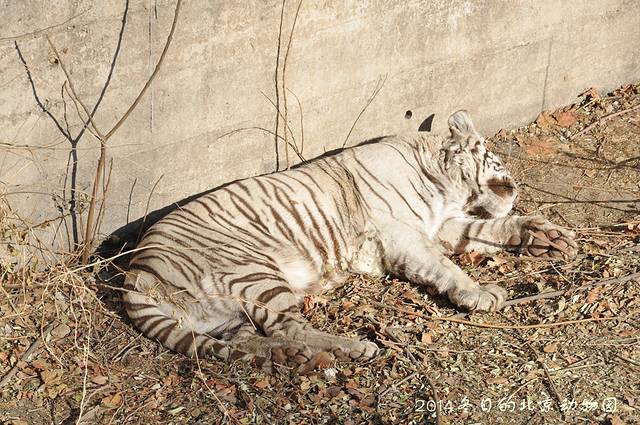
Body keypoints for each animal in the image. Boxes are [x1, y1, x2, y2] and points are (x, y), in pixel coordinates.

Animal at [122, 110, 577, 372]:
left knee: (251, 339)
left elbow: (484, 229)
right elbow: (445, 265)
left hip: (226, 316)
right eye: (492, 155)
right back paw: (352, 349)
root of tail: (135, 275)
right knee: (292, 328)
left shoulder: (439, 224)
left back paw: (288, 358)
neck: (440, 178)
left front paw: (545, 237)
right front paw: (480, 294)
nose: (513, 183)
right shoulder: (402, 234)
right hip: (253, 273)